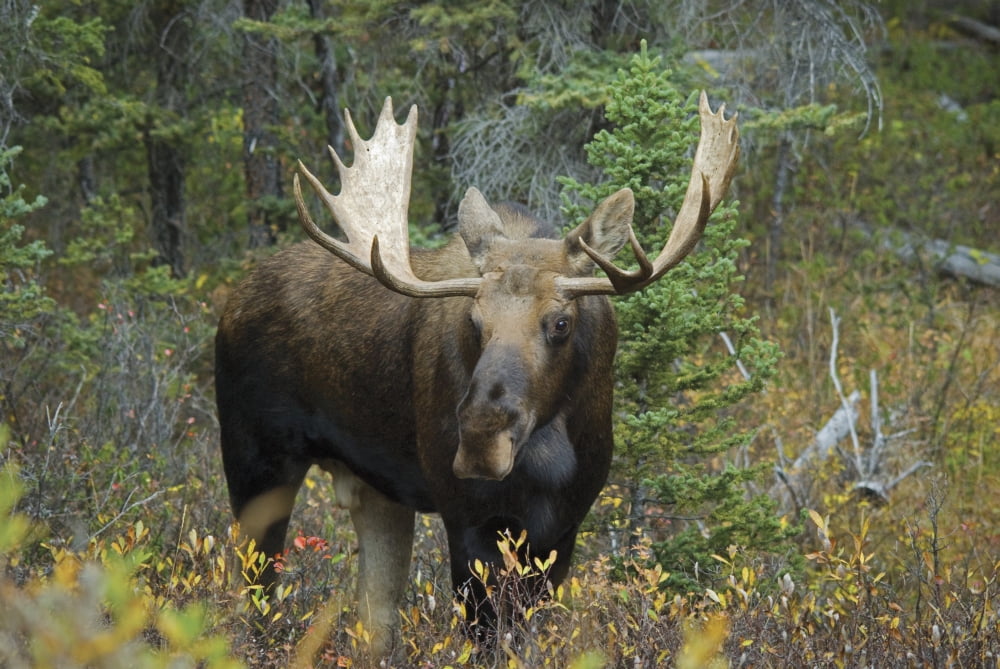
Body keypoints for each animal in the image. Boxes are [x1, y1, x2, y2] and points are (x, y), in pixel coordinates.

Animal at [214, 92, 739, 656]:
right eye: (474, 319)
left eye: (561, 322)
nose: (482, 439)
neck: (549, 455)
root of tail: (233, 299)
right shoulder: (466, 515)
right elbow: (485, 635)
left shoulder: (566, 522)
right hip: (256, 462)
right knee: (255, 592)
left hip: (378, 494)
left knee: (374, 616)